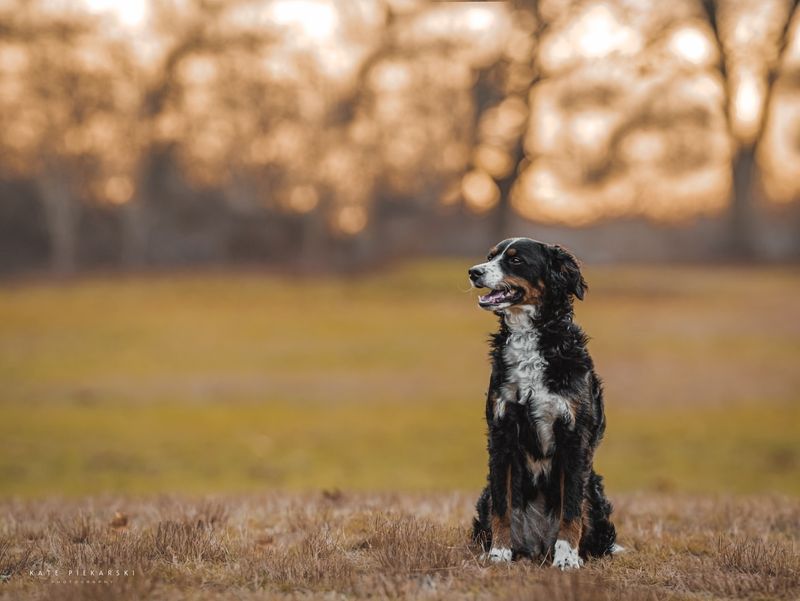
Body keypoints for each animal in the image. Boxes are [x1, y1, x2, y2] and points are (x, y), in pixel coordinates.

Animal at [468, 236, 620, 568]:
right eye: (490, 256)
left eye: (515, 260)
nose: (473, 272)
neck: (531, 342)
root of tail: (537, 545)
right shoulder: (501, 433)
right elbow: (502, 507)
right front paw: (499, 552)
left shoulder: (574, 436)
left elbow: (571, 509)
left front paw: (567, 558)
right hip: (485, 496)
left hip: (594, 493)